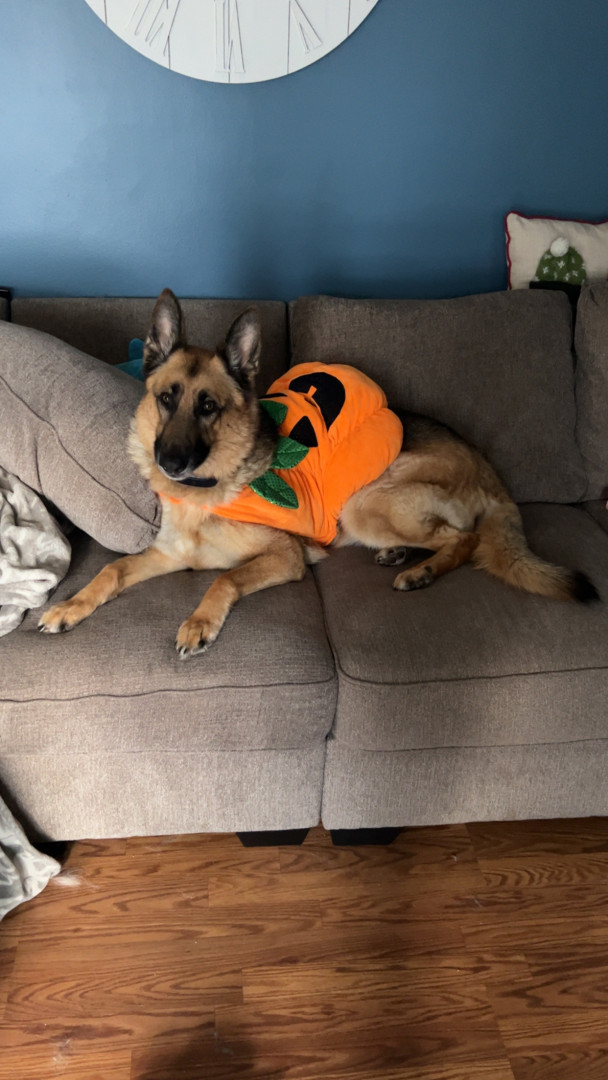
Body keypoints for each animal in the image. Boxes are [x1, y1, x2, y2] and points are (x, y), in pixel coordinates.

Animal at [38, 289, 599, 656]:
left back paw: (420, 571)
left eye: (208, 407)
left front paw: (200, 622)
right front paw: (70, 606)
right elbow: (112, 571)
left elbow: (224, 579)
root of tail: (486, 465)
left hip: (366, 503)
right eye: (166, 398)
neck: (208, 490)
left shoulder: (283, 556)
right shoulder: (168, 556)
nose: (169, 463)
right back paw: (400, 556)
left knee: (465, 540)